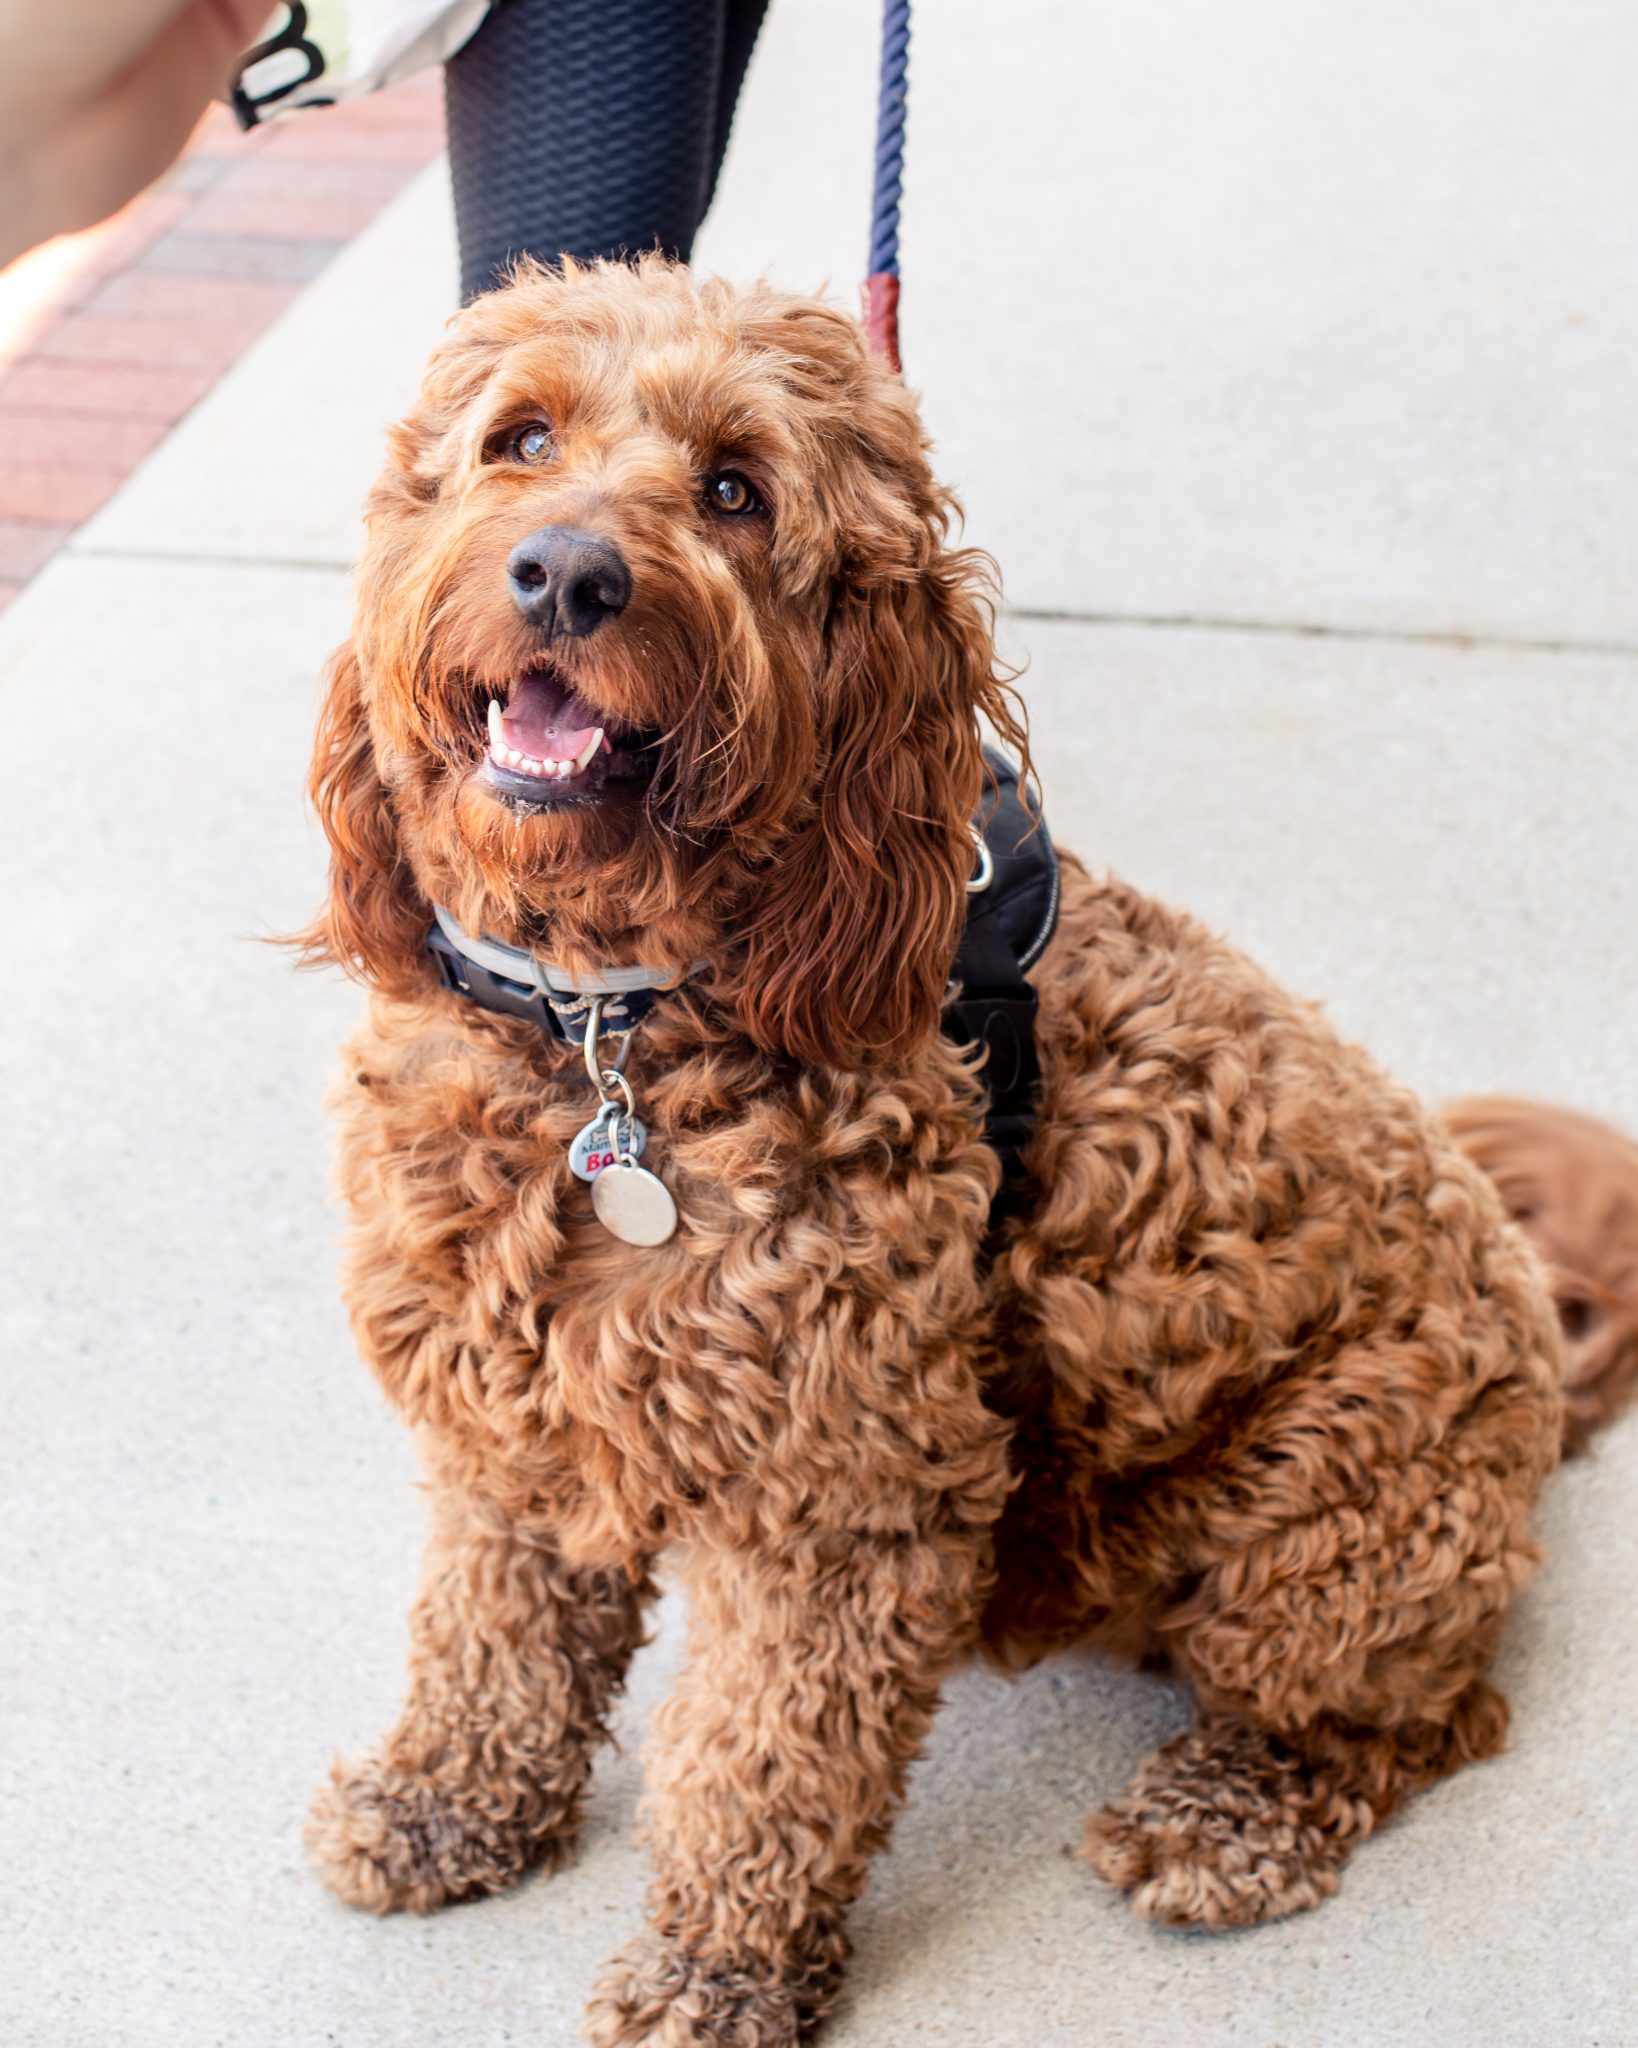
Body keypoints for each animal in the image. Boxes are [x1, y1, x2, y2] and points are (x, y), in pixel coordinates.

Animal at [300, 260, 1637, 2048]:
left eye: (736, 490)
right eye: (519, 440)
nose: (567, 570)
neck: (604, 1035)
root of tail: (1538, 1360)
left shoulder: (840, 1504)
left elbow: (761, 1766)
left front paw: (717, 1973)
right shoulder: (504, 1420)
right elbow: (490, 1634)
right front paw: (447, 1804)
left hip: (1319, 1524)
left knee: (1419, 1720)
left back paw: (1229, 1816)